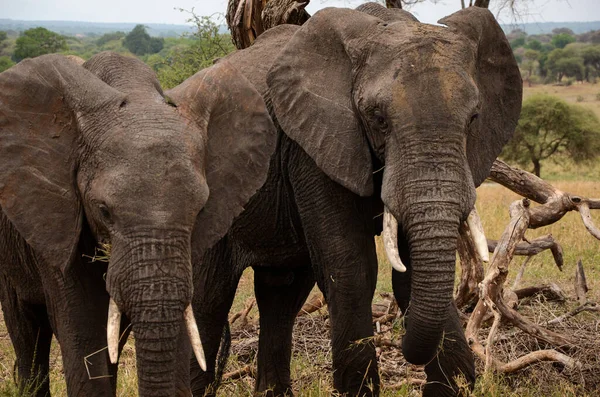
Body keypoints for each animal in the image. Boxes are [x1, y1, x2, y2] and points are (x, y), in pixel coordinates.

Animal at [188, 3, 520, 396]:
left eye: (473, 118)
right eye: (378, 119)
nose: (405, 350)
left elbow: (408, 273)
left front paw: (450, 386)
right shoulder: (313, 145)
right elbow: (352, 268)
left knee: (281, 296)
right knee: (209, 298)